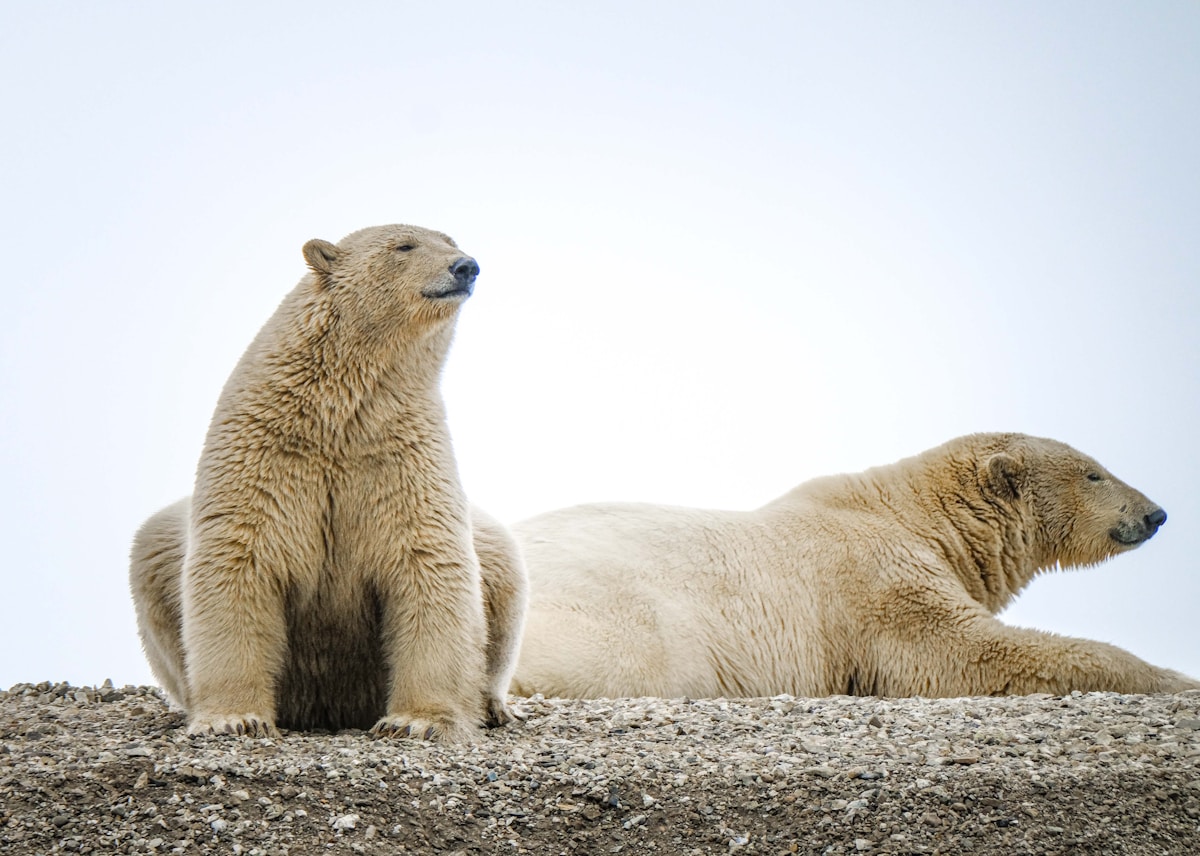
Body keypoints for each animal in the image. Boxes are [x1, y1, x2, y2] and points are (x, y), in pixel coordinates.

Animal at [129, 224, 528, 740]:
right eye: (405, 246)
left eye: (450, 241)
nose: (466, 266)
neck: (337, 417)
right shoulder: (265, 456)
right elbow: (238, 562)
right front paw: (234, 718)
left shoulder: (401, 458)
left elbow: (429, 563)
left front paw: (414, 721)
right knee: (152, 548)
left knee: (501, 563)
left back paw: (494, 705)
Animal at [510, 433, 1199, 699]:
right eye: (1095, 473)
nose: (1158, 513)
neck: (915, 514)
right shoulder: (878, 584)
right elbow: (966, 653)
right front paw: (1178, 678)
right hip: (632, 622)